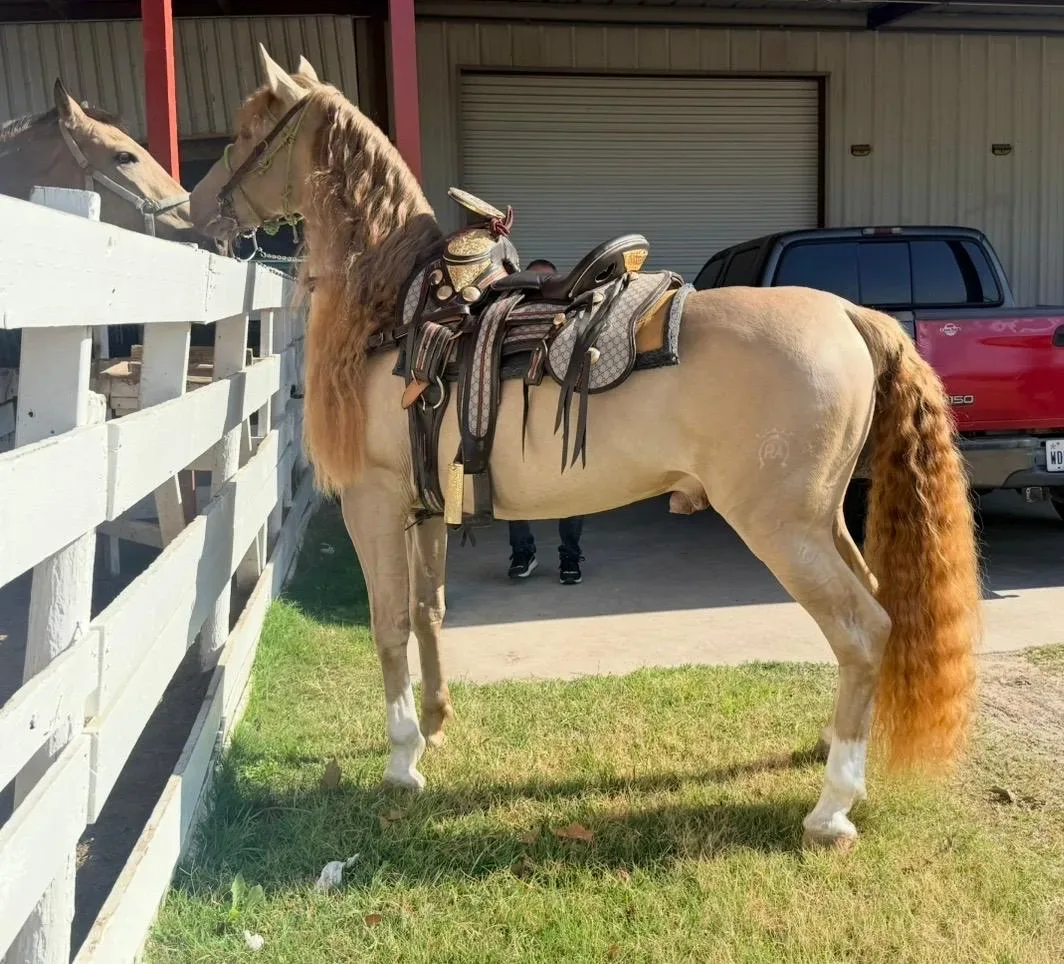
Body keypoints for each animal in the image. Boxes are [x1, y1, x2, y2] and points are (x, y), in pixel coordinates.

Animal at [188, 44, 982, 851]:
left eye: (248, 129)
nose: (194, 205)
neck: (397, 309)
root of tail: (851, 314)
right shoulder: (424, 505)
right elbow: (428, 611)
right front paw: (437, 725)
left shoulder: (373, 503)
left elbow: (387, 627)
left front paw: (403, 760)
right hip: (823, 522)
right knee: (876, 615)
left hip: (783, 527)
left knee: (862, 630)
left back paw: (832, 806)